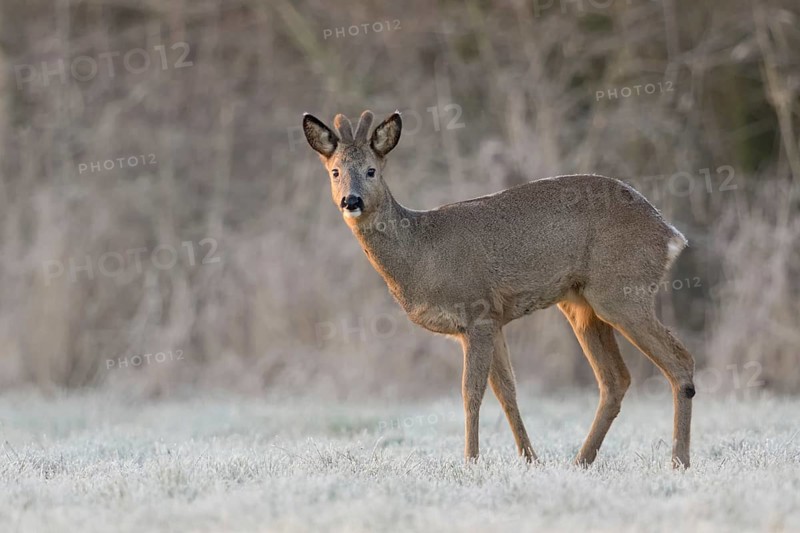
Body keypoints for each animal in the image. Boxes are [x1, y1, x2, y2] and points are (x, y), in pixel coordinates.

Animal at [302, 109, 696, 468]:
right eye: (335, 172)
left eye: (372, 170)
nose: (351, 201)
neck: (421, 254)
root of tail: (669, 234)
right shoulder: (493, 320)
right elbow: (507, 391)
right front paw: (530, 459)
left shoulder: (476, 312)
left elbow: (471, 393)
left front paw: (471, 460)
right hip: (581, 305)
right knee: (616, 379)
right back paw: (581, 461)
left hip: (621, 291)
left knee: (679, 361)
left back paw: (678, 462)